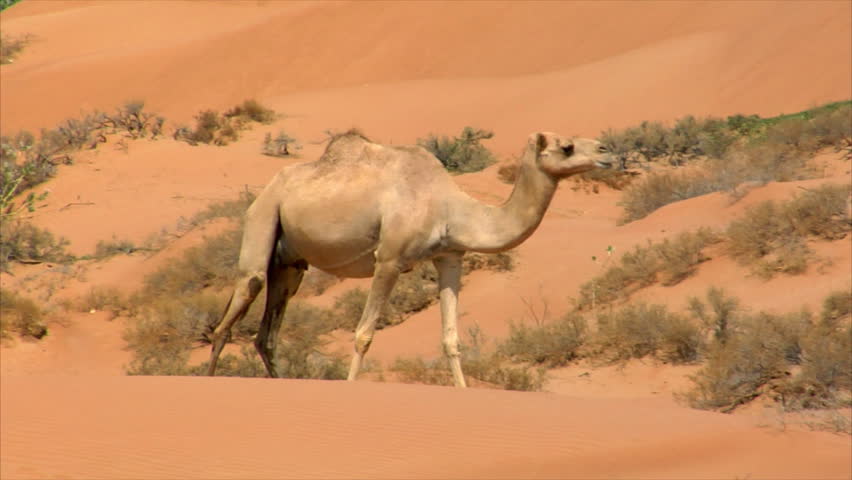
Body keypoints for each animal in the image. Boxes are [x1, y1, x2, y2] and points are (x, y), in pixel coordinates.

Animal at [206, 130, 612, 387]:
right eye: (567, 147)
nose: (607, 151)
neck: (450, 205)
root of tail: (267, 188)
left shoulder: (450, 256)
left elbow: (451, 339)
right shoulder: (389, 258)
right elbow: (363, 334)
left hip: (290, 262)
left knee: (266, 335)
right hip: (263, 218)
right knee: (234, 308)